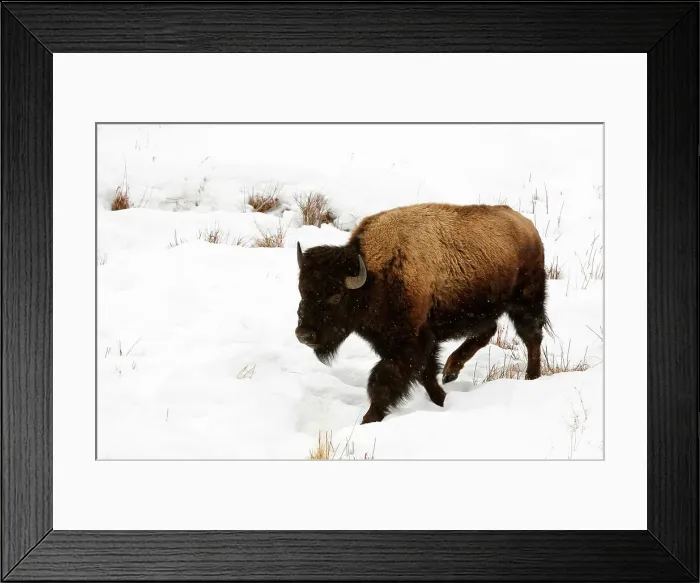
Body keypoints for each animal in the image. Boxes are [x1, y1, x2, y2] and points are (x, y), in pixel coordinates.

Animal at [295, 203, 550, 424]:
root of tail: (527, 226)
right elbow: (425, 374)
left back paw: (531, 378)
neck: (374, 276)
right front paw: (443, 399)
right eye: (302, 290)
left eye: (336, 296)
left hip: (525, 301)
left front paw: (368, 420)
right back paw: (451, 372)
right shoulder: (414, 343)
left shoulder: (411, 343)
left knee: (532, 337)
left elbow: (383, 380)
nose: (303, 335)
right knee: (489, 331)